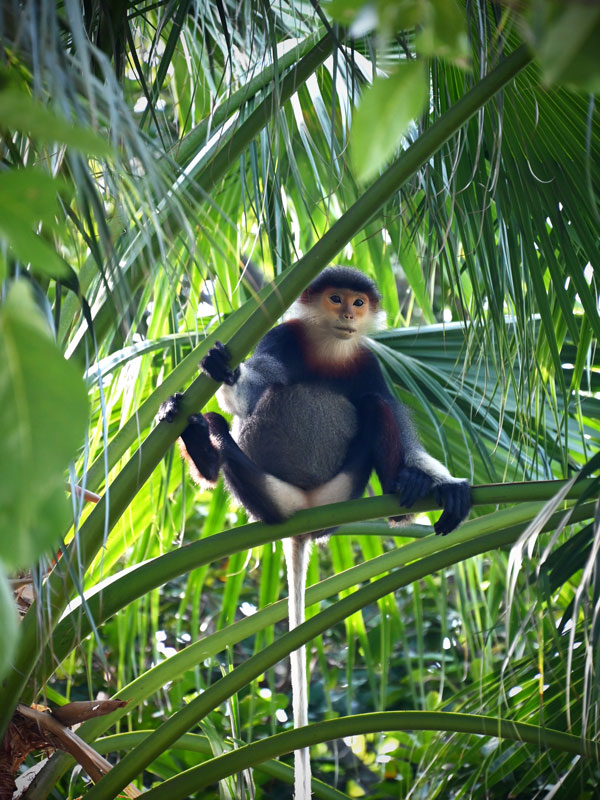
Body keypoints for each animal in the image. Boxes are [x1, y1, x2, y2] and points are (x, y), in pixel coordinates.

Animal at [158, 266, 471, 799]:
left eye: (359, 303)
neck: (329, 347)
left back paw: (405, 491)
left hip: (344, 492)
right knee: (229, 424)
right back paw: (202, 443)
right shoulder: (281, 337)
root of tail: (305, 517)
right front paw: (225, 374)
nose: (348, 313)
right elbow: (252, 389)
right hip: (268, 492)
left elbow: (391, 409)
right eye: (336, 298)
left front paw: (440, 483)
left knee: (375, 406)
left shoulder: (367, 362)